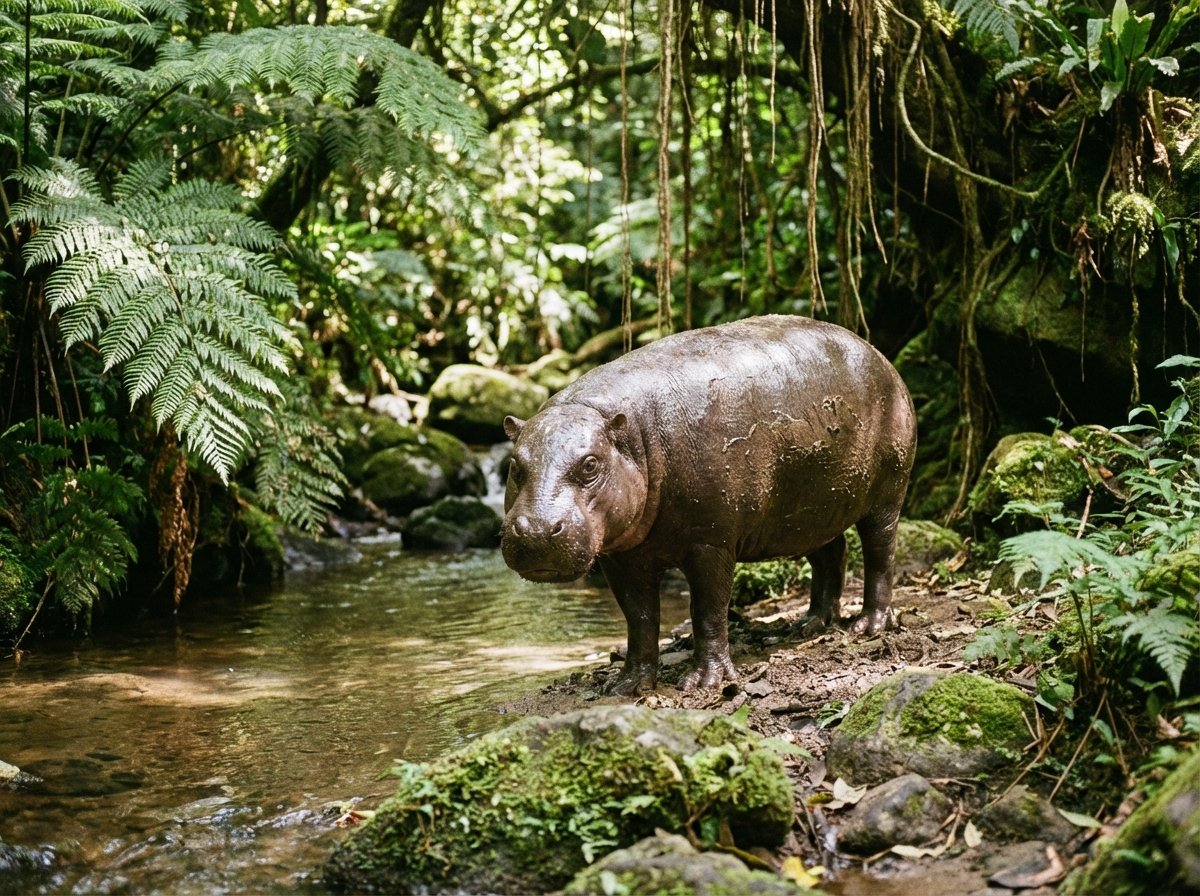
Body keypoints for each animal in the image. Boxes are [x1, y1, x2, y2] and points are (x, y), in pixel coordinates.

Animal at [501, 314, 917, 696]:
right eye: (515, 464)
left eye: (590, 464)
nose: (537, 529)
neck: (633, 437)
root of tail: (879, 354)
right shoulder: (620, 557)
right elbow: (639, 619)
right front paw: (627, 685)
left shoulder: (711, 542)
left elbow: (707, 611)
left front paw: (704, 684)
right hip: (811, 508)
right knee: (832, 553)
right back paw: (811, 623)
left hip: (887, 492)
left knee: (880, 554)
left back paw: (869, 626)